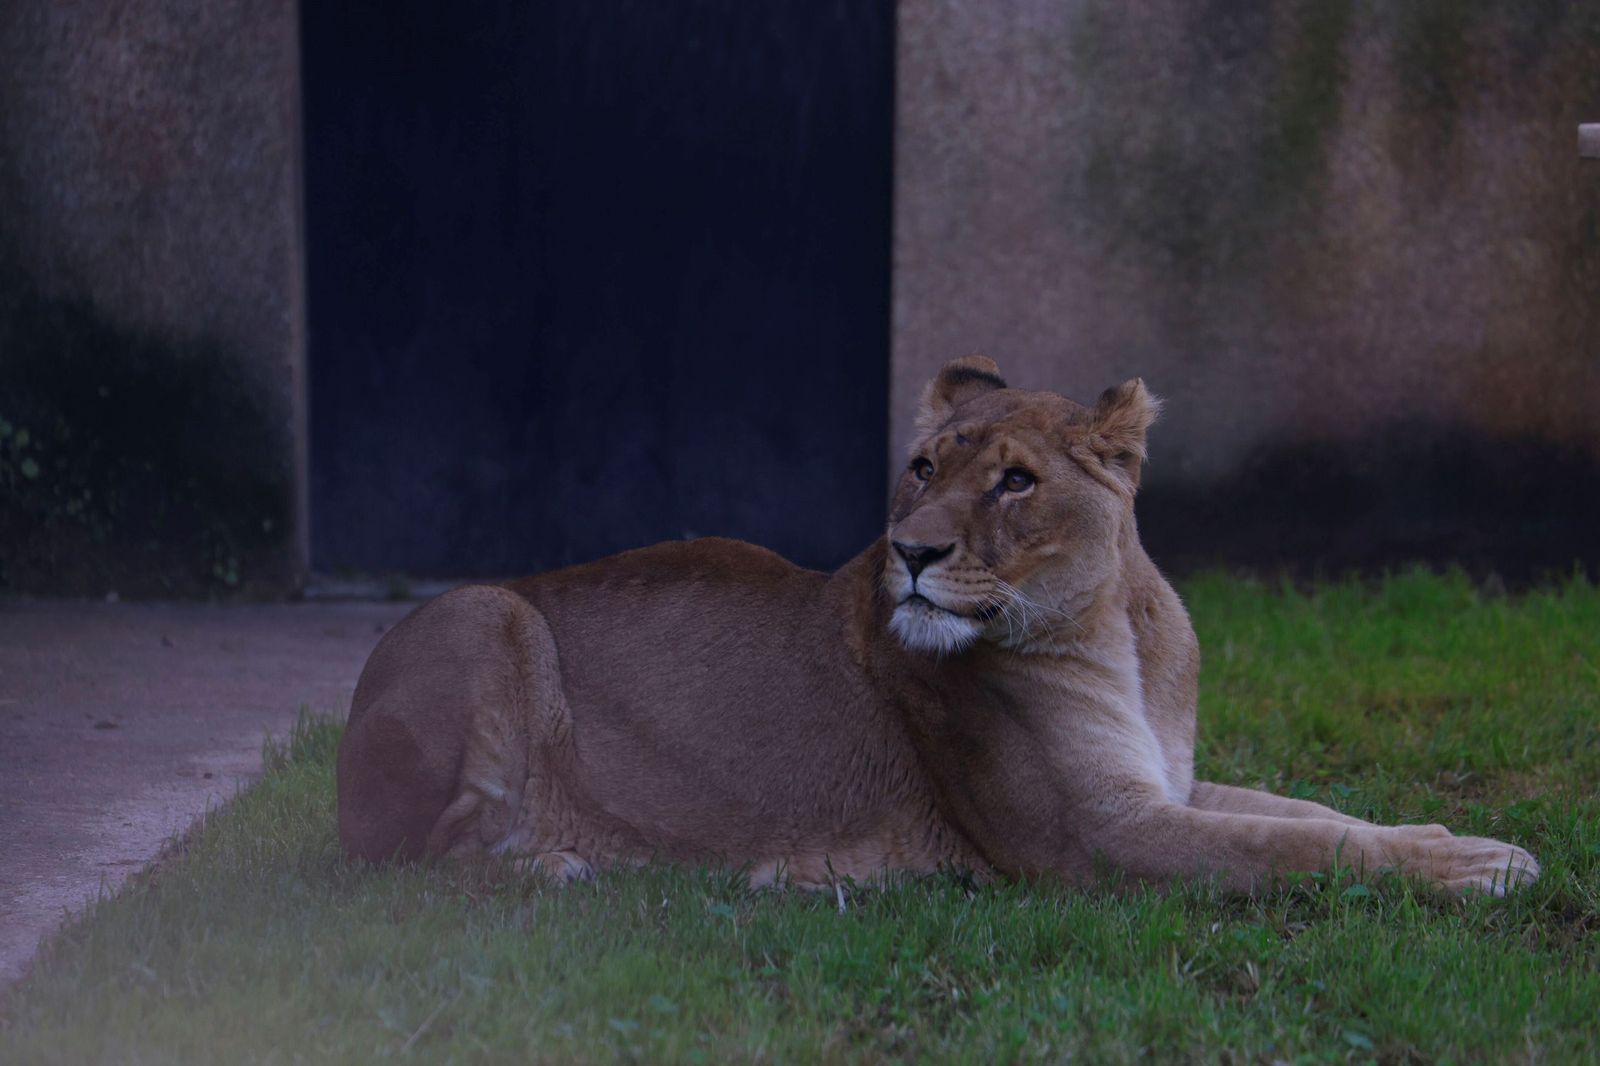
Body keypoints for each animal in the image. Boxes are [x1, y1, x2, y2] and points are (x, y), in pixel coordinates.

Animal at [336, 357, 1539, 895]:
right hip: (484, 611)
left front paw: (1448, 835)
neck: (1122, 632)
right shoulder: (1096, 839)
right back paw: (575, 866)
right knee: (411, 863)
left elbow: (1309, 810)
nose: (909, 551)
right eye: (921, 467)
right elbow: (1291, 845)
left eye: (1014, 481)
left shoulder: (1165, 780)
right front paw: (1477, 866)